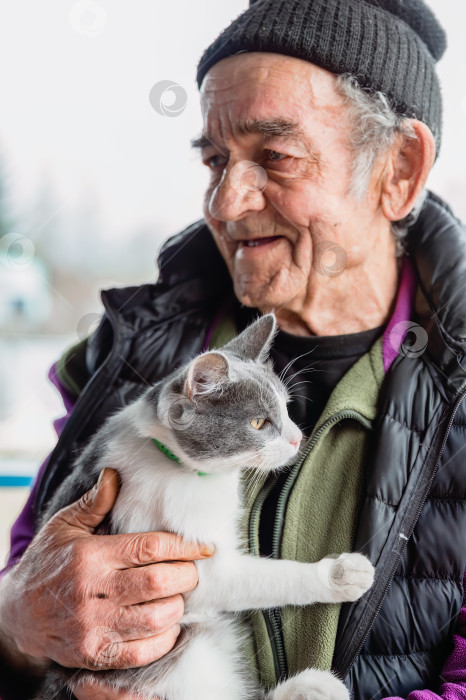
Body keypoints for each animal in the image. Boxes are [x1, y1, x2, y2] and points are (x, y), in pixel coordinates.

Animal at [39, 314, 374, 700]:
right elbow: (268, 577)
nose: (297, 438)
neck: (179, 465)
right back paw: (315, 685)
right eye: (259, 423)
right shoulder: (186, 564)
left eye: (287, 409)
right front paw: (337, 575)